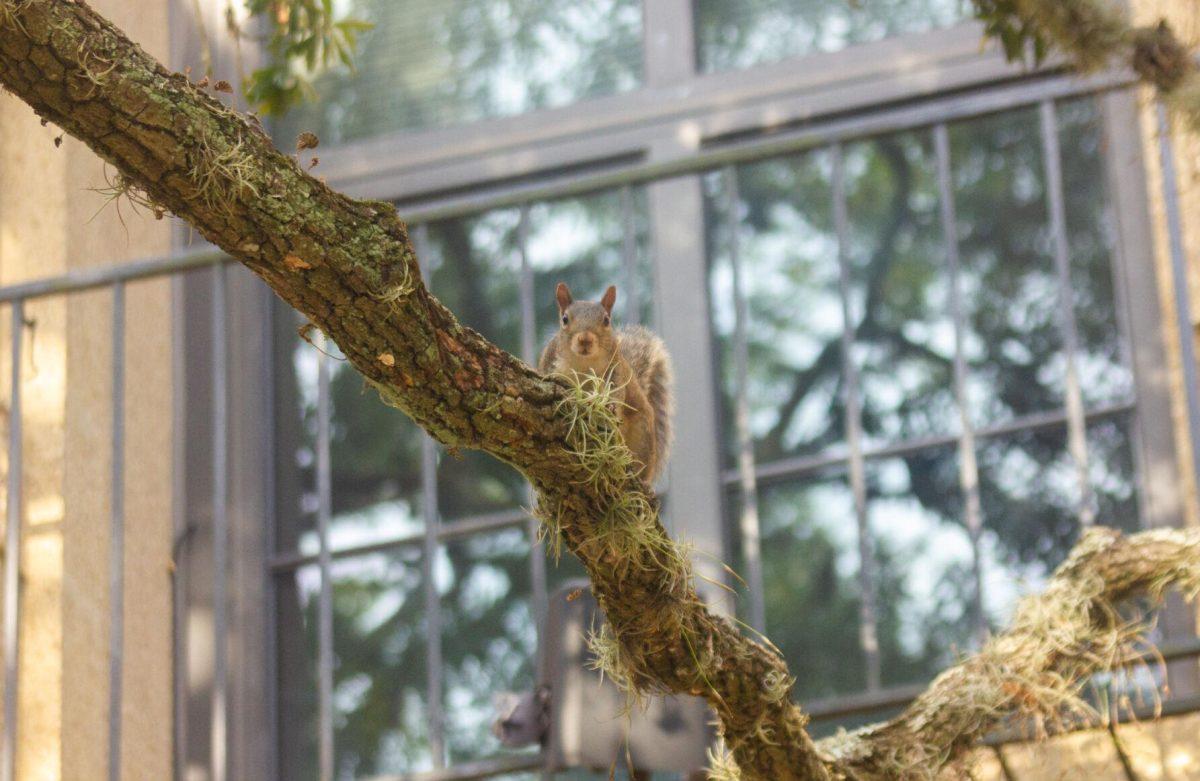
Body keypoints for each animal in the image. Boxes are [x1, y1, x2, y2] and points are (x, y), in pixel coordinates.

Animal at [537, 283, 672, 482]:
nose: (585, 339)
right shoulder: (550, 363)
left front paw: (610, 406)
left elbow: (615, 393)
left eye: (606, 320)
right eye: (565, 319)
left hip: (644, 435)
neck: (584, 363)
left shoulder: (616, 372)